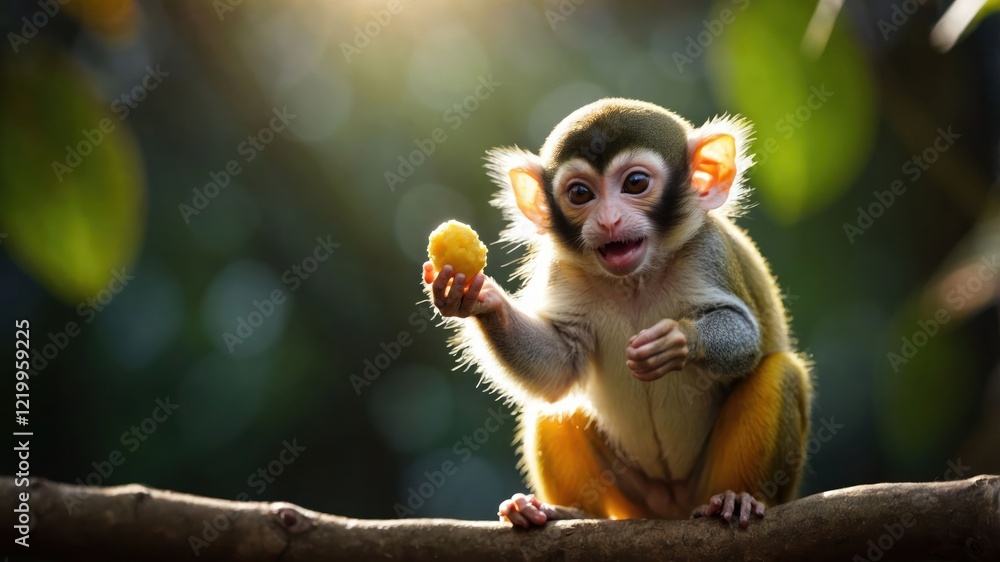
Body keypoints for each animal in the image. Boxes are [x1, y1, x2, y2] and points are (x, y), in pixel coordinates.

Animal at [421, 98, 812, 528]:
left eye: (635, 183)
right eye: (580, 193)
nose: (609, 221)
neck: (635, 281)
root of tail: (669, 508)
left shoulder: (709, 252)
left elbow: (745, 338)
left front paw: (678, 340)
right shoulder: (563, 272)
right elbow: (559, 366)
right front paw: (481, 301)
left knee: (780, 372)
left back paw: (738, 497)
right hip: (629, 499)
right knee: (554, 407)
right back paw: (563, 510)